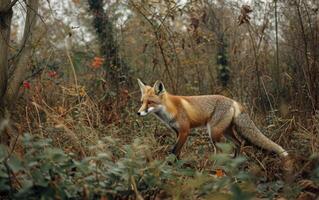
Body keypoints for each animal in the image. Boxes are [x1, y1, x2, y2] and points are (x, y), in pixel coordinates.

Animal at [138, 79, 290, 159]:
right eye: (142, 102)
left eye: (150, 102)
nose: (138, 113)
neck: (171, 109)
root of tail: (233, 101)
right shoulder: (177, 132)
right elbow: (178, 151)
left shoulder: (185, 131)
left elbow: (174, 151)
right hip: (225, 132)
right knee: (239, 143)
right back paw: (236, 161)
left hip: (214, 133)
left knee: (223, 150)